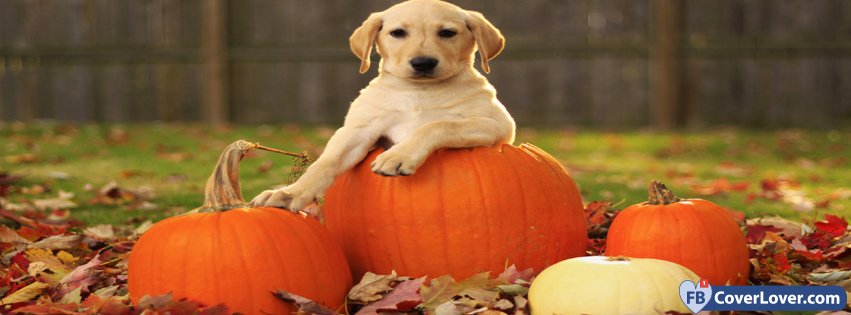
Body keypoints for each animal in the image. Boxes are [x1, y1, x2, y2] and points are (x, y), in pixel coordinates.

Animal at [253, 0, 516, 212]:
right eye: (397, 33)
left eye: (448, 33)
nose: (423, 63)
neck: (420, 92)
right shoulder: (358, 130)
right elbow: (326, 161)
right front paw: (290, 193)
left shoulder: (497, 124)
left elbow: (438, 125)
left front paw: (398, 155)